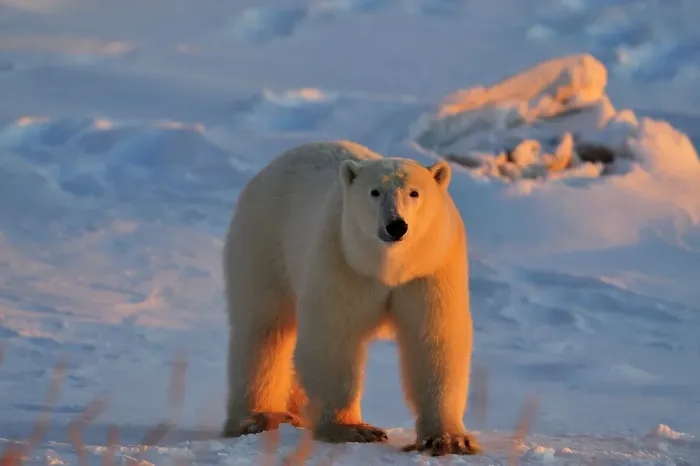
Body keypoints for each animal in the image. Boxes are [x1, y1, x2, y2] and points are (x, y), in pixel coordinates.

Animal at [221, 140, 480, 456]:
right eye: (374, 191)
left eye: (414, 192)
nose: (396, 225)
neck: (388, 268)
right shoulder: (342, 259)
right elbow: (333, 335)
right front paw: (352, 428)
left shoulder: (430, 266)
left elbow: (433, 339)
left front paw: (449, 439)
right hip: (265, 241)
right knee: (264, 330)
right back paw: (257, 417)